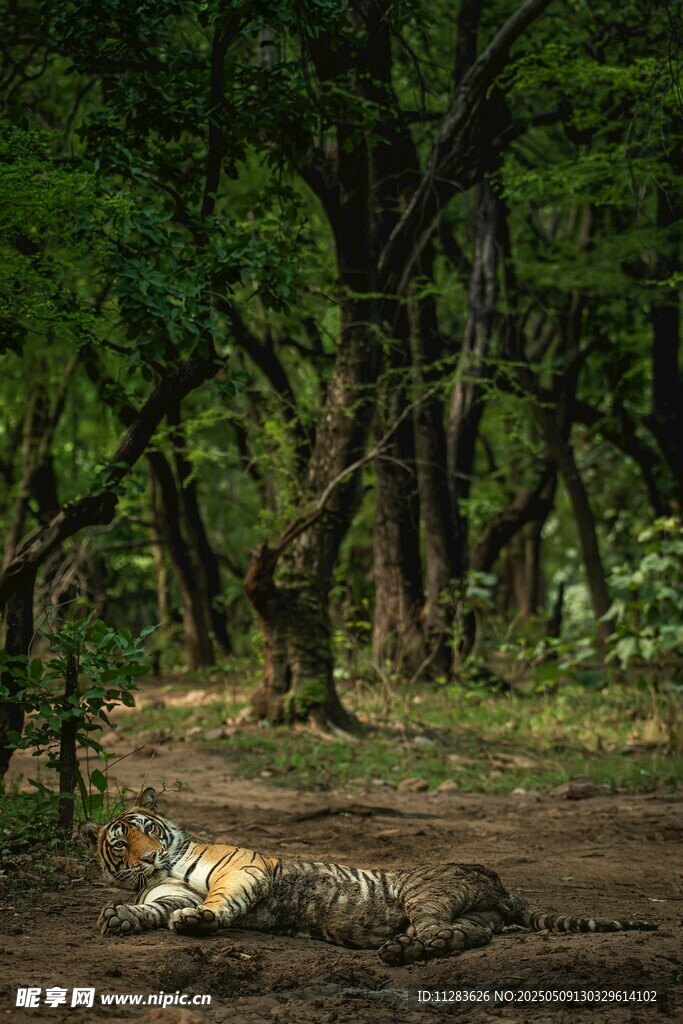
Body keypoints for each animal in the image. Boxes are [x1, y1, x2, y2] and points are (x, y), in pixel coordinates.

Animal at [79, 787, 658, 966]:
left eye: (147, 828)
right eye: (119, 843)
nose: (145, 856)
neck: (168, 865)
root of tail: (499, 881)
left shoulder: (245, 869)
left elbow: (218, 900)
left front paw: (200, 920)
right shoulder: (165, 893)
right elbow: (151, 909)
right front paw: (118, 916)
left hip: (427, 892)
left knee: (437, 930)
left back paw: (401, 951)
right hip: (472, 914)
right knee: (467, 935)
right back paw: (407, 949)